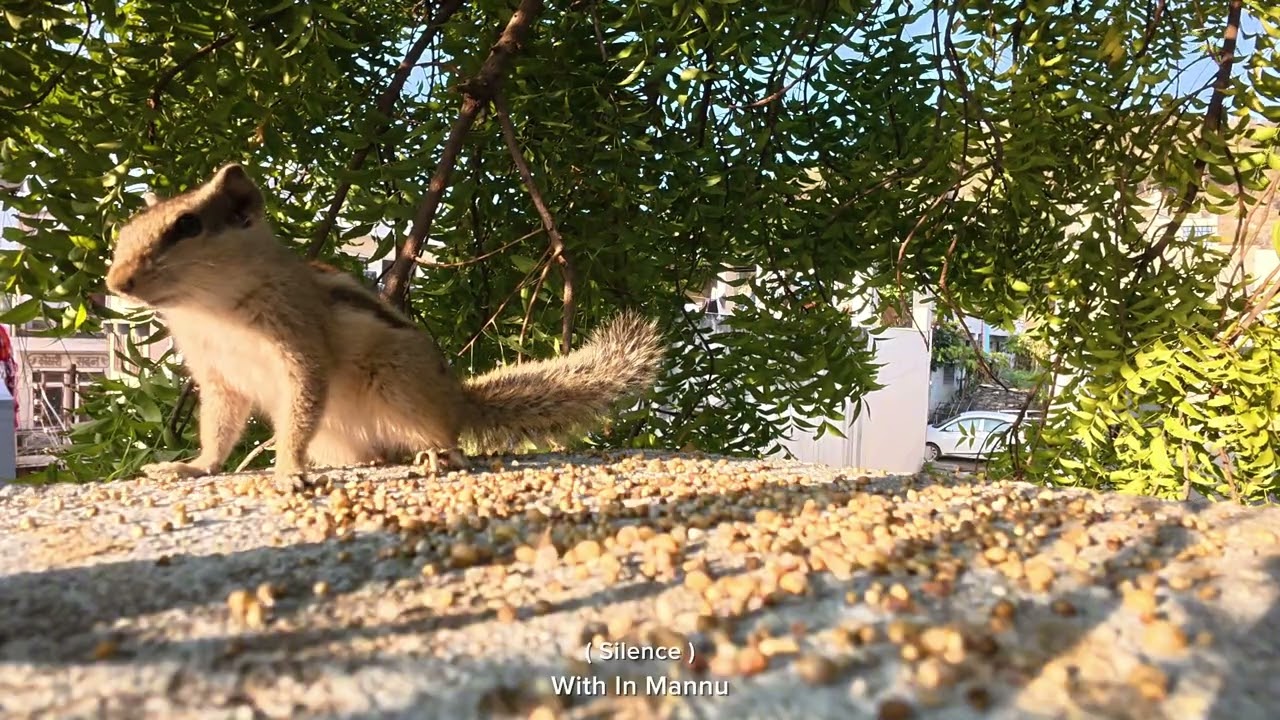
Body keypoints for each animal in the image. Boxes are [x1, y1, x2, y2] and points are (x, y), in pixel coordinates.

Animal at [104, 163, 663, 485]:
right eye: (125, 230)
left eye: (187, 226)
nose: (115, 281)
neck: (211, 311)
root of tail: (458, 401)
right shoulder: (218, 377)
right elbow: (219, 430)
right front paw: (193, 465)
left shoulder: (300, 349)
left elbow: (301, 408)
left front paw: (287, 469)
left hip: (398, 381)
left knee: (447, 442)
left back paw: (439, 456)